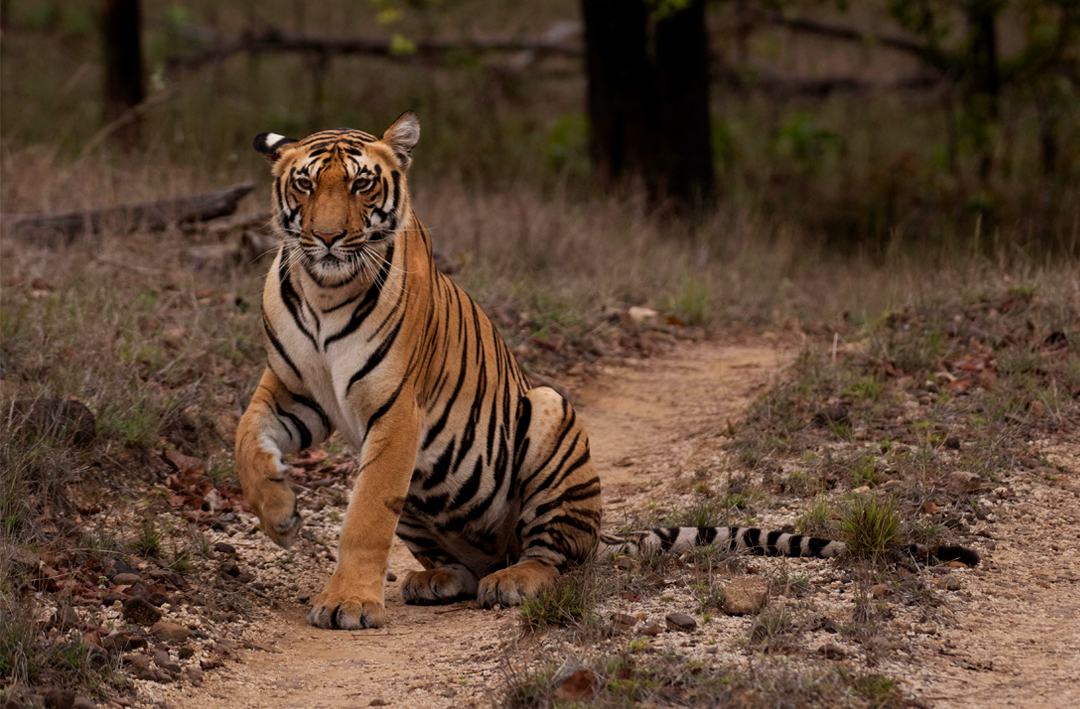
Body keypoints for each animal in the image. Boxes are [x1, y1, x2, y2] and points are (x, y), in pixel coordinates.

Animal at [235, 112, 978, 630]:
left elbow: (364, 515)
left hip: (550, 414)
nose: (329, 237)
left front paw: (348, 603)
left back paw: (515, 580)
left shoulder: (397, 411)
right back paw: (437, 578)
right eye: (306, 183)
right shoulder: (296, 391)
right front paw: (280, 516)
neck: (325, 289)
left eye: (362, 184)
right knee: (460, 561)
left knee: (557, 555)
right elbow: (245, 439)